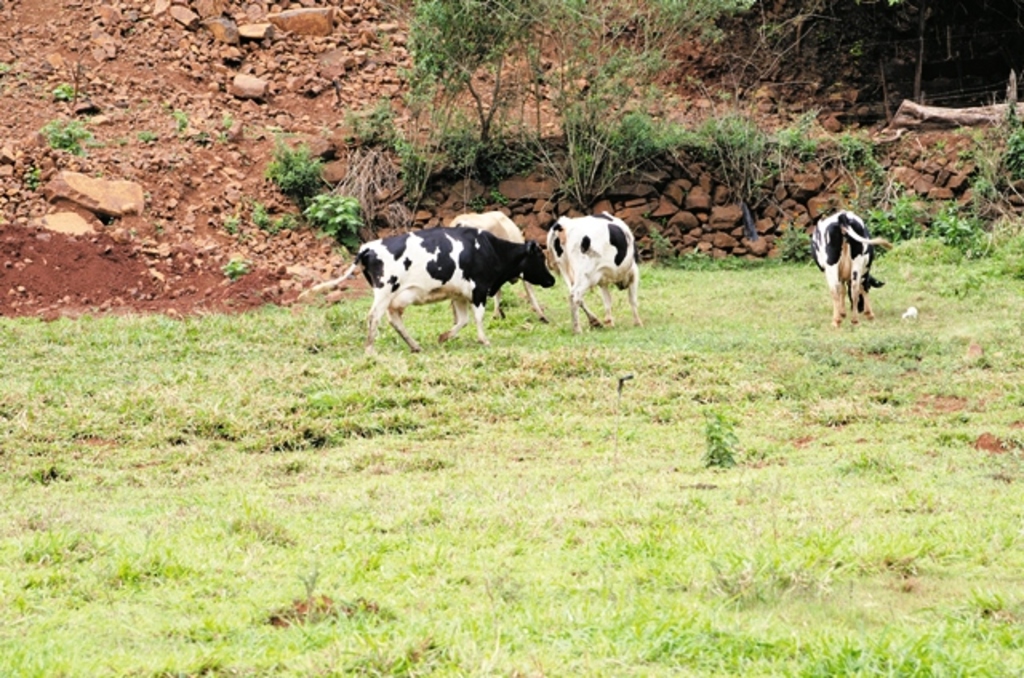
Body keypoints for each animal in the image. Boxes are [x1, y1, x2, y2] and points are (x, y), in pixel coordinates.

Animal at [299, 228, 552, 356]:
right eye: (540, 256)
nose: (552, 279)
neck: (490, 249)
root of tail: (367, 248)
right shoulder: (478, 288)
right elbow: (478, 317)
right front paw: (485, 340)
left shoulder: (458, 293)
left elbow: (462, 320)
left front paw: (443, 337)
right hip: (384, 290)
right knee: (374, 317)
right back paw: (370, 350)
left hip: (395, 296)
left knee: (394, 319)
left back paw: (414, 345)